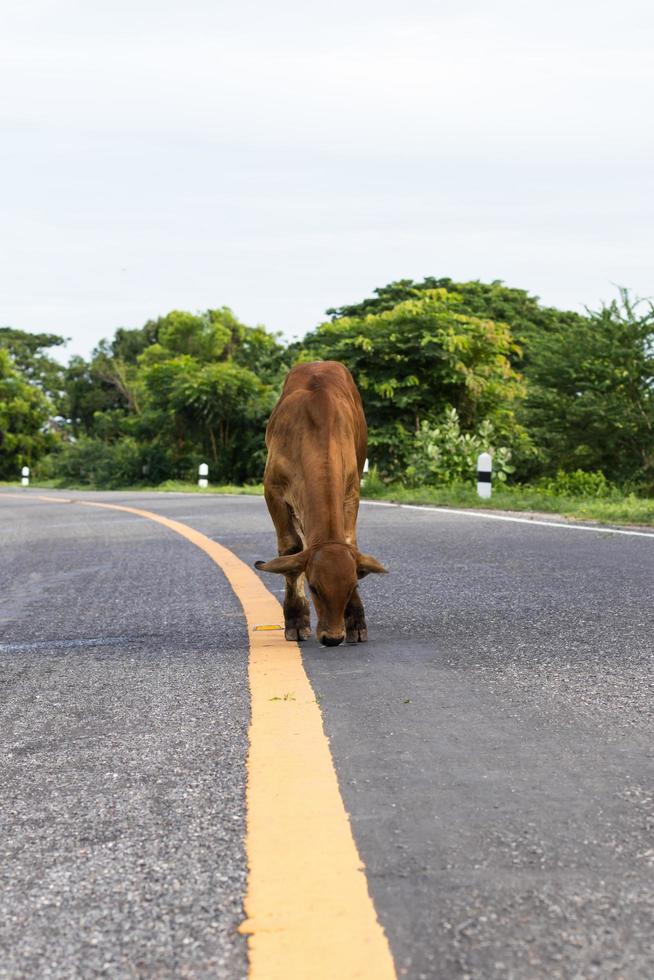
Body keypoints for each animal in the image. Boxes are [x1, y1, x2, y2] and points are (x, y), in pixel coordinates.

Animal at [255, 358, 390, 644]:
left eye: (352, 586)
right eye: (314, 587)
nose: (332, 637)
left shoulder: (351, 490)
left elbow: (349, 542)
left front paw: (356, 620)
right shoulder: (272, 490)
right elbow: (290, 549)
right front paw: (296, 620)